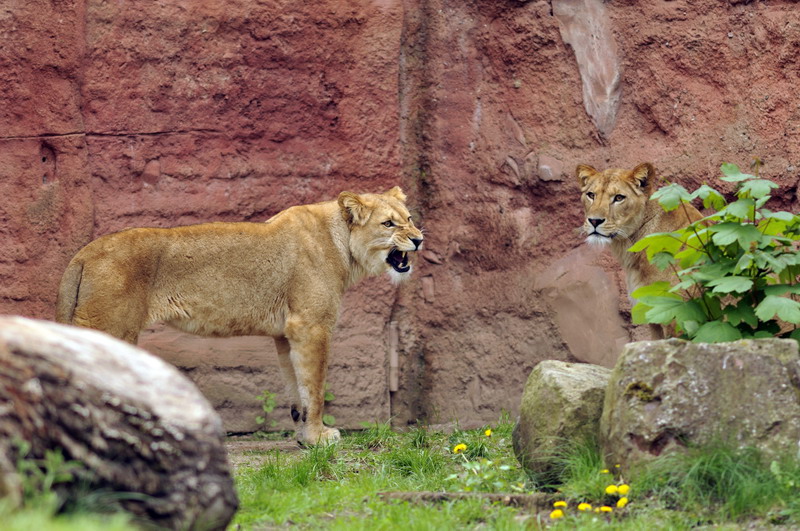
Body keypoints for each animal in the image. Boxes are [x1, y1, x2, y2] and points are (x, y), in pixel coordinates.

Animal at [55, 187, 423, 445]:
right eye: (388, 223)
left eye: (409, 219)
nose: (419, 239)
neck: (343, 245)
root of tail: (83, 253)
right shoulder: (311, 325)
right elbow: (315, 387)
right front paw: (321, 438)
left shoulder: (286, 332)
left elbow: (297, 387)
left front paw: (305, 438)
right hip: (111, 329)